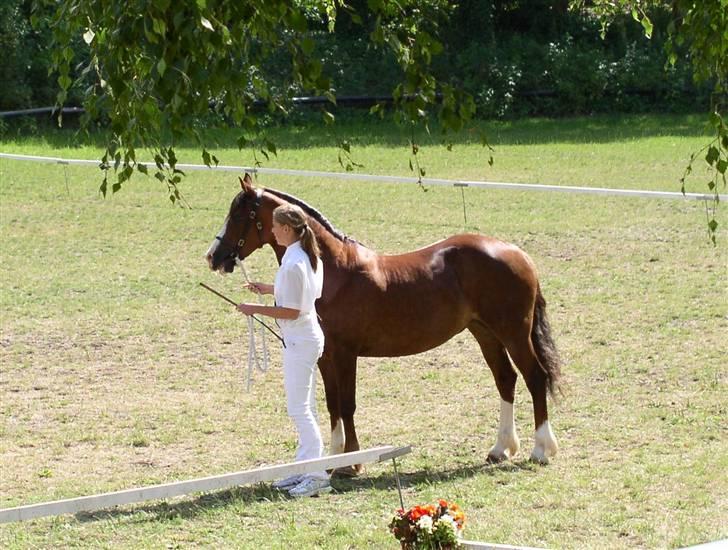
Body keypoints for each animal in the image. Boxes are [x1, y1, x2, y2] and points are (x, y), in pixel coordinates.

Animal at [205, 175, 564, 468]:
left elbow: (347, 404)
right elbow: (332, 405)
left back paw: (541, 450)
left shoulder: (346, 354)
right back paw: (500, 449)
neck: (332, 271)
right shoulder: (325, 356)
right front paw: (334, 460)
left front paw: (352, 463)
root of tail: (518, 253)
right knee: (506, 379)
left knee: (535, 377)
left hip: (513, 333)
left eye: (239, 215)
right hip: (485, 333)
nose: (213, 257)